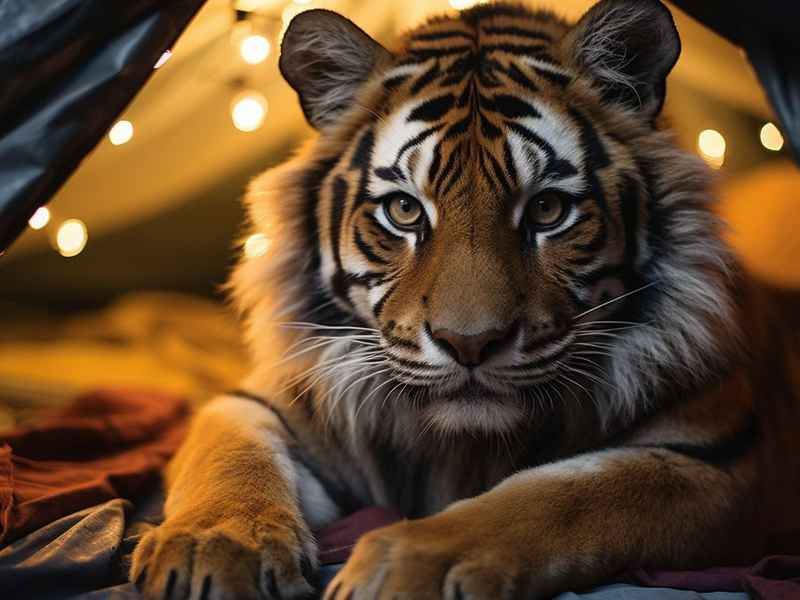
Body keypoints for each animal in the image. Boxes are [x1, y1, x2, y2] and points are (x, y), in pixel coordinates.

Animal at [130, 1, 800, 599]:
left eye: (547, 209)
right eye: (404, 210)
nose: (469, 343)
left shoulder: (716, 458)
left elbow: (561, 494)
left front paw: (405, 568)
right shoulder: (271, 401)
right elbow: (231, 452)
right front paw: (212, 547)